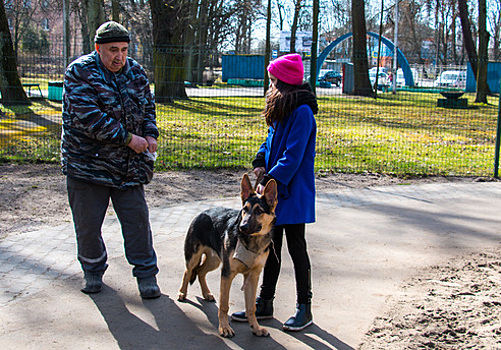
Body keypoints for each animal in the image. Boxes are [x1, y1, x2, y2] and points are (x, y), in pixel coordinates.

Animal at [177, 174, 278, 338]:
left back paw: (206, 293)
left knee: (200, 271)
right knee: (189, 271)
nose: (242, 227)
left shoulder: (253, 277)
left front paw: (255, 327)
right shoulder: (227, 274)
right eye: (245, 210)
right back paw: (182, 292)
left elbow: (251, 307)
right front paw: (224, 328)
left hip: (215, 262)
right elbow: (224, 305)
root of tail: (202, 213)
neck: (252, 241)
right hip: (194, 258)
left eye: (259, 211)